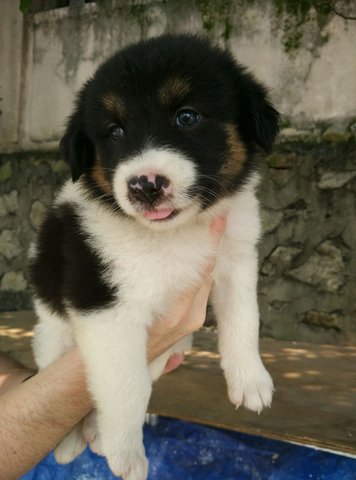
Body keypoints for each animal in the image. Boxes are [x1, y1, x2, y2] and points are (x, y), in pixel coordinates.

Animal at [29, 34, 280, 480]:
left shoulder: (235, 260)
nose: (145, 185)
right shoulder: (106, 306)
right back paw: (73, 440)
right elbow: (127, 385)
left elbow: (244, 319)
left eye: (187, 117)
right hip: (53, 331)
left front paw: (250, 379)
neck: (172, 236)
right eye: (114, 130)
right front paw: (126, 453)